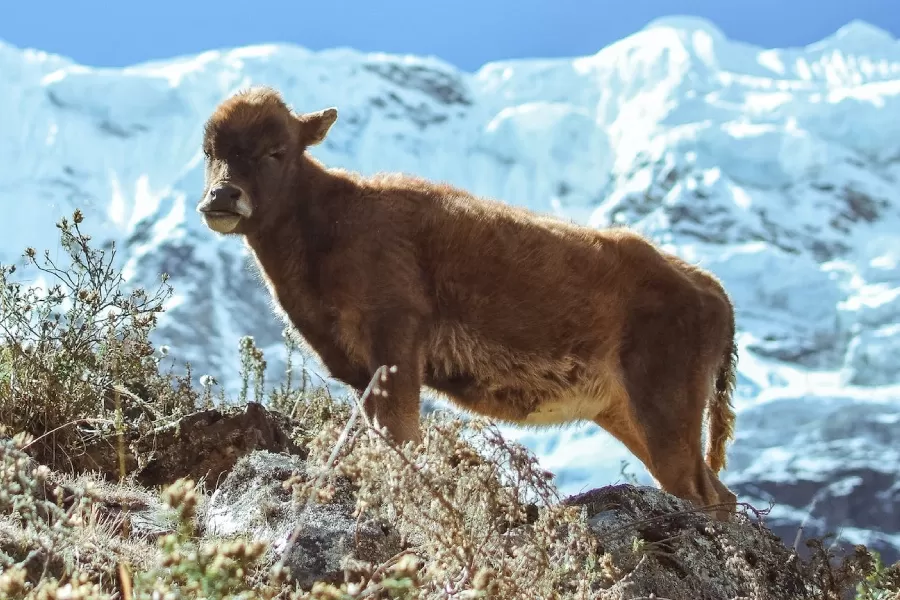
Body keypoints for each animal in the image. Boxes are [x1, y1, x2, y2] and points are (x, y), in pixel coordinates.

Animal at [195, 86, 740, 516]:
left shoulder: (396, 345)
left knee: (702, 492)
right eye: (209, 150)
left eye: (276, 151)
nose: (223, 197)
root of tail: (711, 287)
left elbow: (401, 436)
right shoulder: (358, 371)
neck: (329, 218)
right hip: (627, 414)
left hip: (665, 412)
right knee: (715, 491)